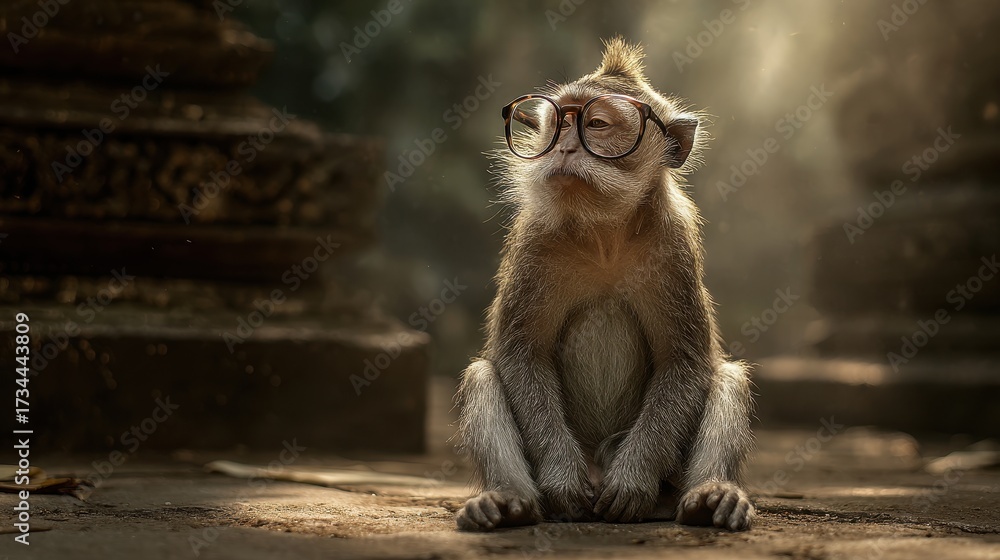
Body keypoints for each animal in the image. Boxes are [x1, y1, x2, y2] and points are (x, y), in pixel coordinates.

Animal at [453, 37, 755, 532]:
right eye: (558, 123)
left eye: (595, 124)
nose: (563, 149)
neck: (604, 233)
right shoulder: (535, 241)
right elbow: (522, 355)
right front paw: (560, 479)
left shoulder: (673, 247)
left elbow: (684, 363)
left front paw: (633, 480)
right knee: (483, 377)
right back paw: (508, 500)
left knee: (727, 379)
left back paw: (710, 496)